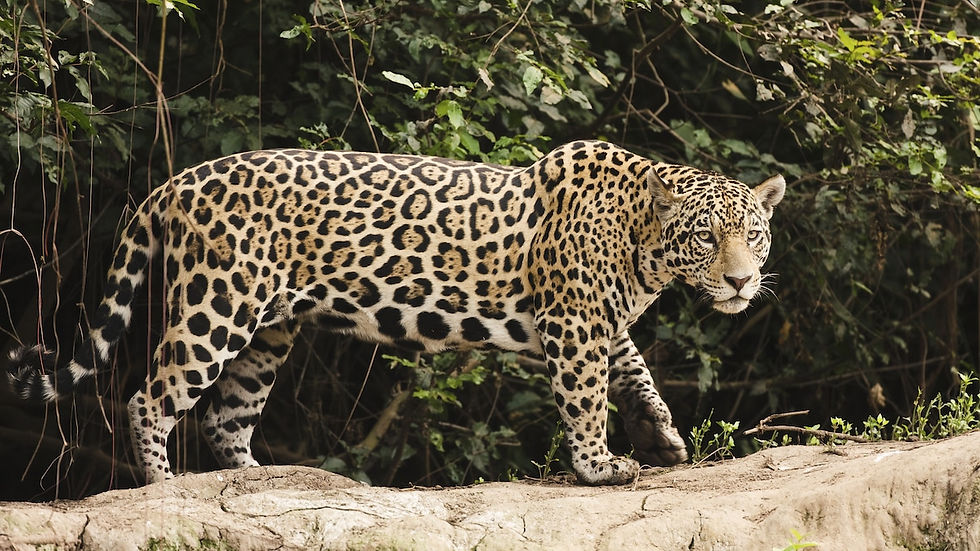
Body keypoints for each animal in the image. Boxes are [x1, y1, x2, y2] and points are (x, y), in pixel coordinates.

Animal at [7, 140, 785, 486]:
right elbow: (587, 397)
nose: (742, 281)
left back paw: (256, 479)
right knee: (151, 396)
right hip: (217, 304)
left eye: (753, 232)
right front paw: (600, 466)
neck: (643, 241)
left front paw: (663, 438)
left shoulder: (592, 323)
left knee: (226, 416)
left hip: (270, 329)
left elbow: (637, 371)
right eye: (706, 236)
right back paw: (163, 485)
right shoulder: (573, 324)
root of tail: (177, 180)